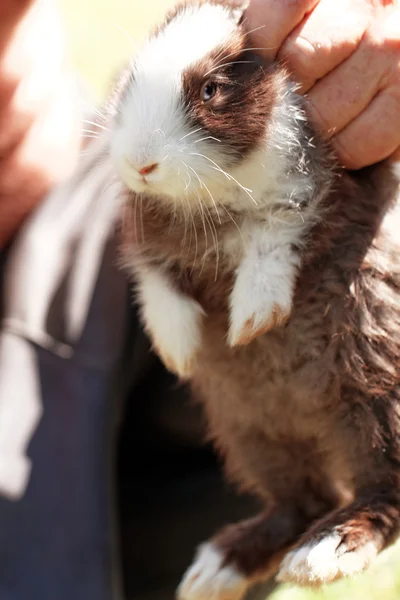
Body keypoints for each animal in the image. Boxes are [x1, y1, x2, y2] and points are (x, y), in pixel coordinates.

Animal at [106, 2, 400, 596]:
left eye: (212, 89)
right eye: (131, 79)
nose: (140, 164)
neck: (213, 195)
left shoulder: (320, 196)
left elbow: (274, 239)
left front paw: (252, 320)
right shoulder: (147, 238)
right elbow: (158, 286)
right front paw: (179, 350)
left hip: (375, 396)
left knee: (381, 493)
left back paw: (324, 552)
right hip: (246, 428)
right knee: (301, 500)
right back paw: (216, 569)